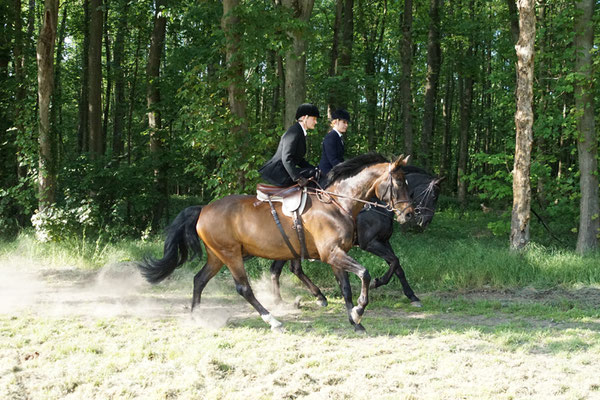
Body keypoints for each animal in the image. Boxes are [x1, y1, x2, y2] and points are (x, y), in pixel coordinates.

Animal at [138, 153, 414, 332]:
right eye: (399, 183)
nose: (410, 214)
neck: (338, 204)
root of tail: (203, 209)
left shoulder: (337, 255)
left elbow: (347, 287)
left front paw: (355, 321)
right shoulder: (333, 253)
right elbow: (365, 274)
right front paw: (359, 309)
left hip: (218, 255)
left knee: (199, 280)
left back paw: (196, 317)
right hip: (231, 254)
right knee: (244, 288)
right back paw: (273, 320)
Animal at [270, 164, 442, 308]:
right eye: (434, 196)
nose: (425, 221)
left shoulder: (384, 241)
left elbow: (397, 266)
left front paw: (412, 296)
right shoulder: (371, 243)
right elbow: (394, 261)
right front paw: (376, 283)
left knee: (287, 269)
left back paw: (311, 297)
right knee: (284, 269)